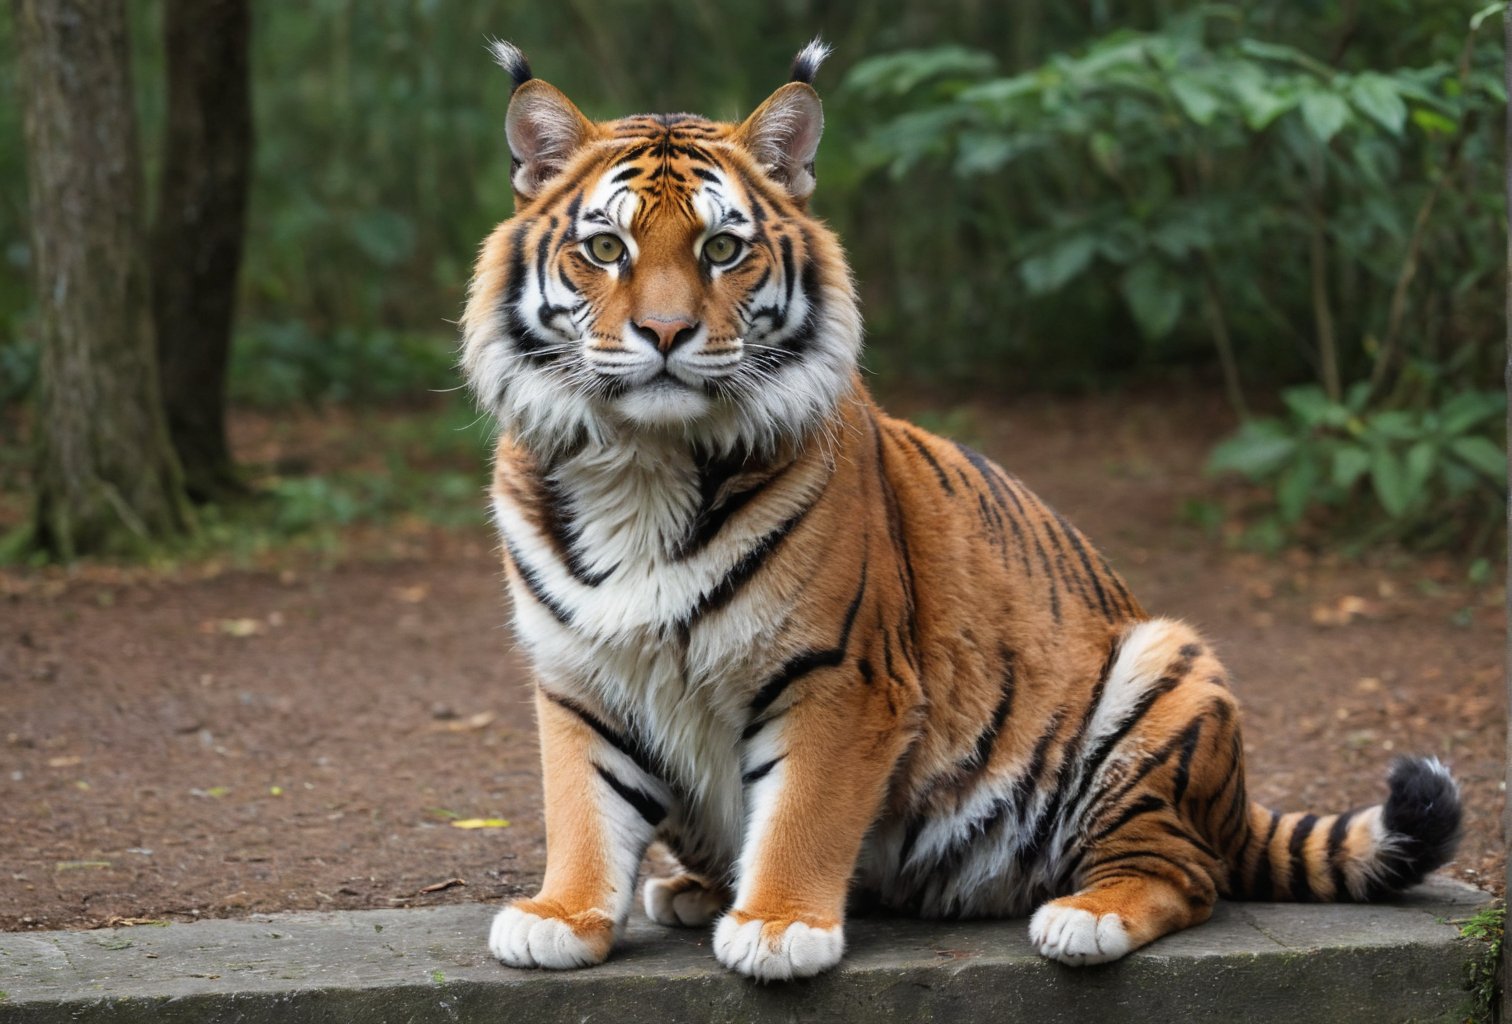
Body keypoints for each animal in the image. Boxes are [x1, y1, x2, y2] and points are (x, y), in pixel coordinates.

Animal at [453, 41, 1457, 980]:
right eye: (607, 249)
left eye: (722, 250)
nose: (665, 334)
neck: (645, 463)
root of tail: (1237, 807)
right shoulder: (578, 675)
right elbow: (582, 805)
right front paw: (561, 916)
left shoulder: (842, 672)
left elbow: (803, 811)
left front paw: (778, 927)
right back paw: (695, 889)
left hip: (1165, 668)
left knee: (1185, 871)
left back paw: (1084, 916)